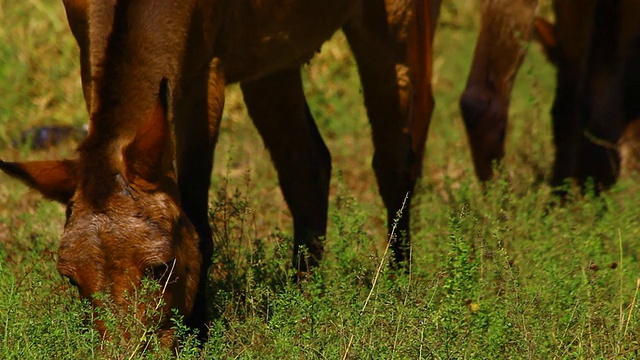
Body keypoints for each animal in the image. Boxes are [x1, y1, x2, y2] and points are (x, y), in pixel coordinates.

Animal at [0, 0, 440, 344]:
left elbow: (199, 216)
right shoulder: (88, 52)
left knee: (393, 160)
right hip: (274, 58)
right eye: (72, 279)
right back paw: (304, 300)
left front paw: (197, 332)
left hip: (391, 28)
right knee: (306, 166)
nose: (130, 348)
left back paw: (397, 289)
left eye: (162, 267)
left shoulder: (204, 74)